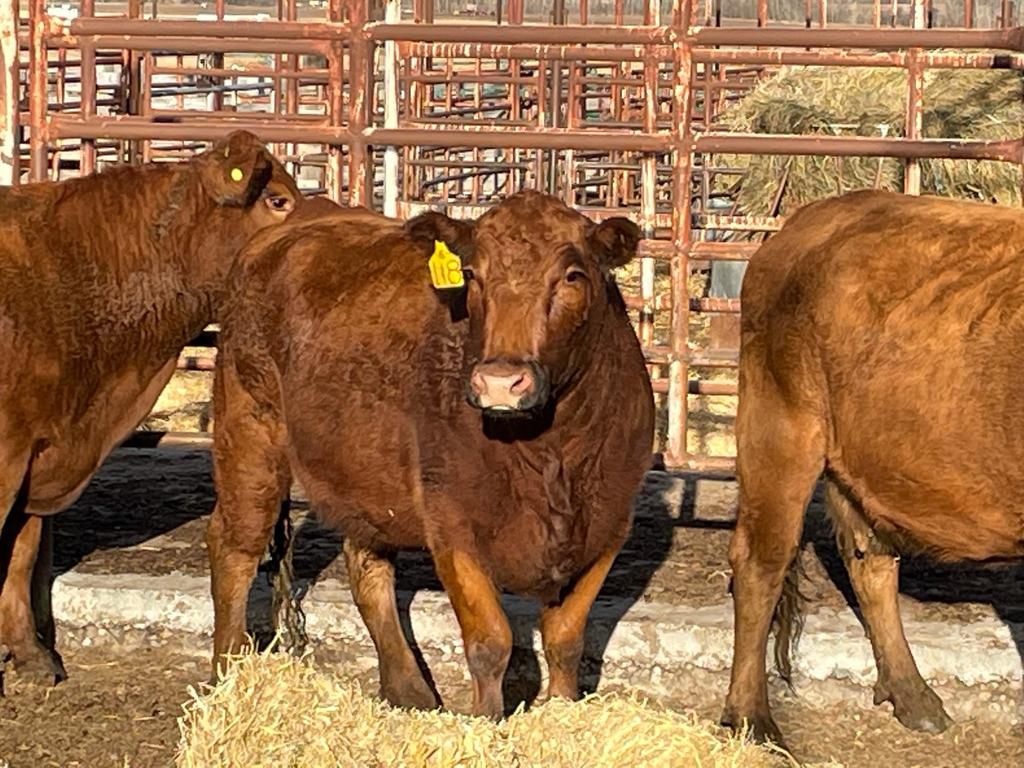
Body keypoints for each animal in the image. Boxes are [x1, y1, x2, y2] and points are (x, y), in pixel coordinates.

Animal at [206, 191, 655, 717]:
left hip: (365, 473)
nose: (500, 382)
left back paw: (410, 692)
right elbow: (491, 641)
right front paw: (486, 721)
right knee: (234, 548)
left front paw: (560, 711)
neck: (549, 453)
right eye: (473, 274)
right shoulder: (452, 523)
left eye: (572, 275)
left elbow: (565, 639)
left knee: (367, 568)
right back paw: (227, 678)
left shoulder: (608, 524)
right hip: (249, 433)